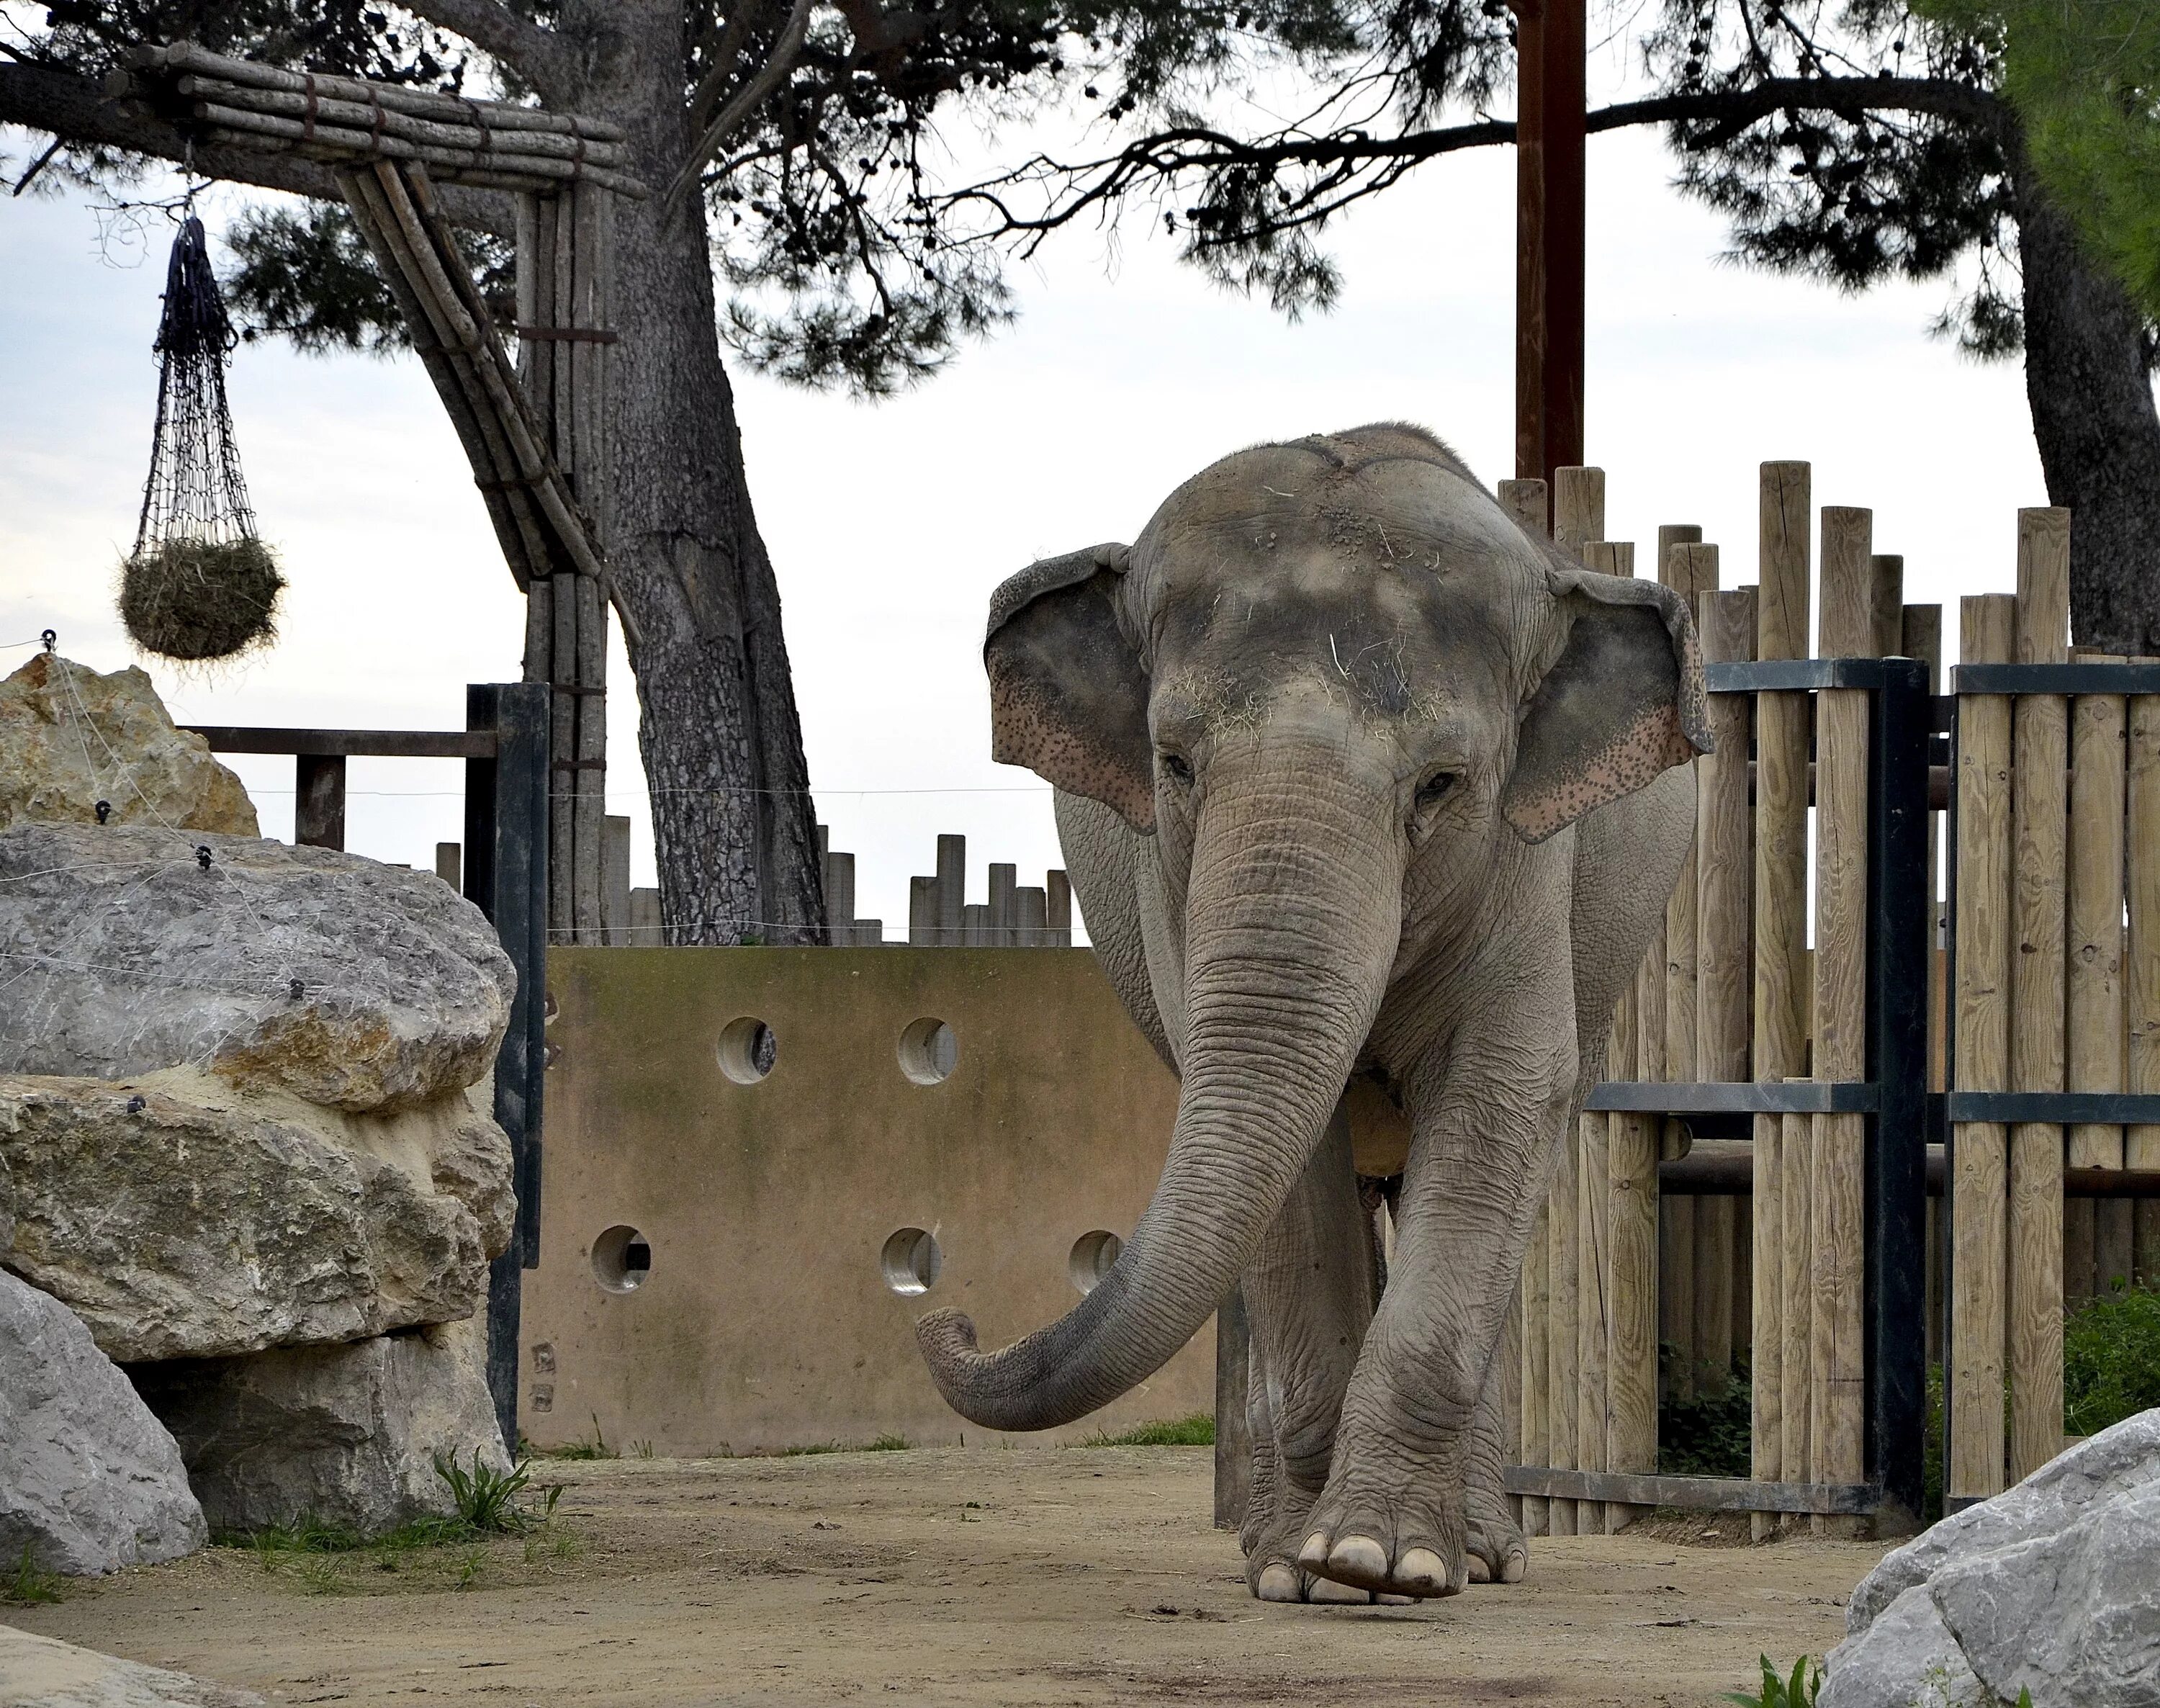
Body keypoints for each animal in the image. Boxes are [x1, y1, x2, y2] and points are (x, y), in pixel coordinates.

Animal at [912, 423, 1702, 1606]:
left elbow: (1499, 1097)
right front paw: (1311, 1572)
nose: (946, 1315)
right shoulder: (1167, 885)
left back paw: (1480, 1554)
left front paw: (1388, 1562)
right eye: (1174, 762)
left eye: (1441, 783)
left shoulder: (1530, 868)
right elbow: (1289, 1165)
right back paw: (1282, 1541)